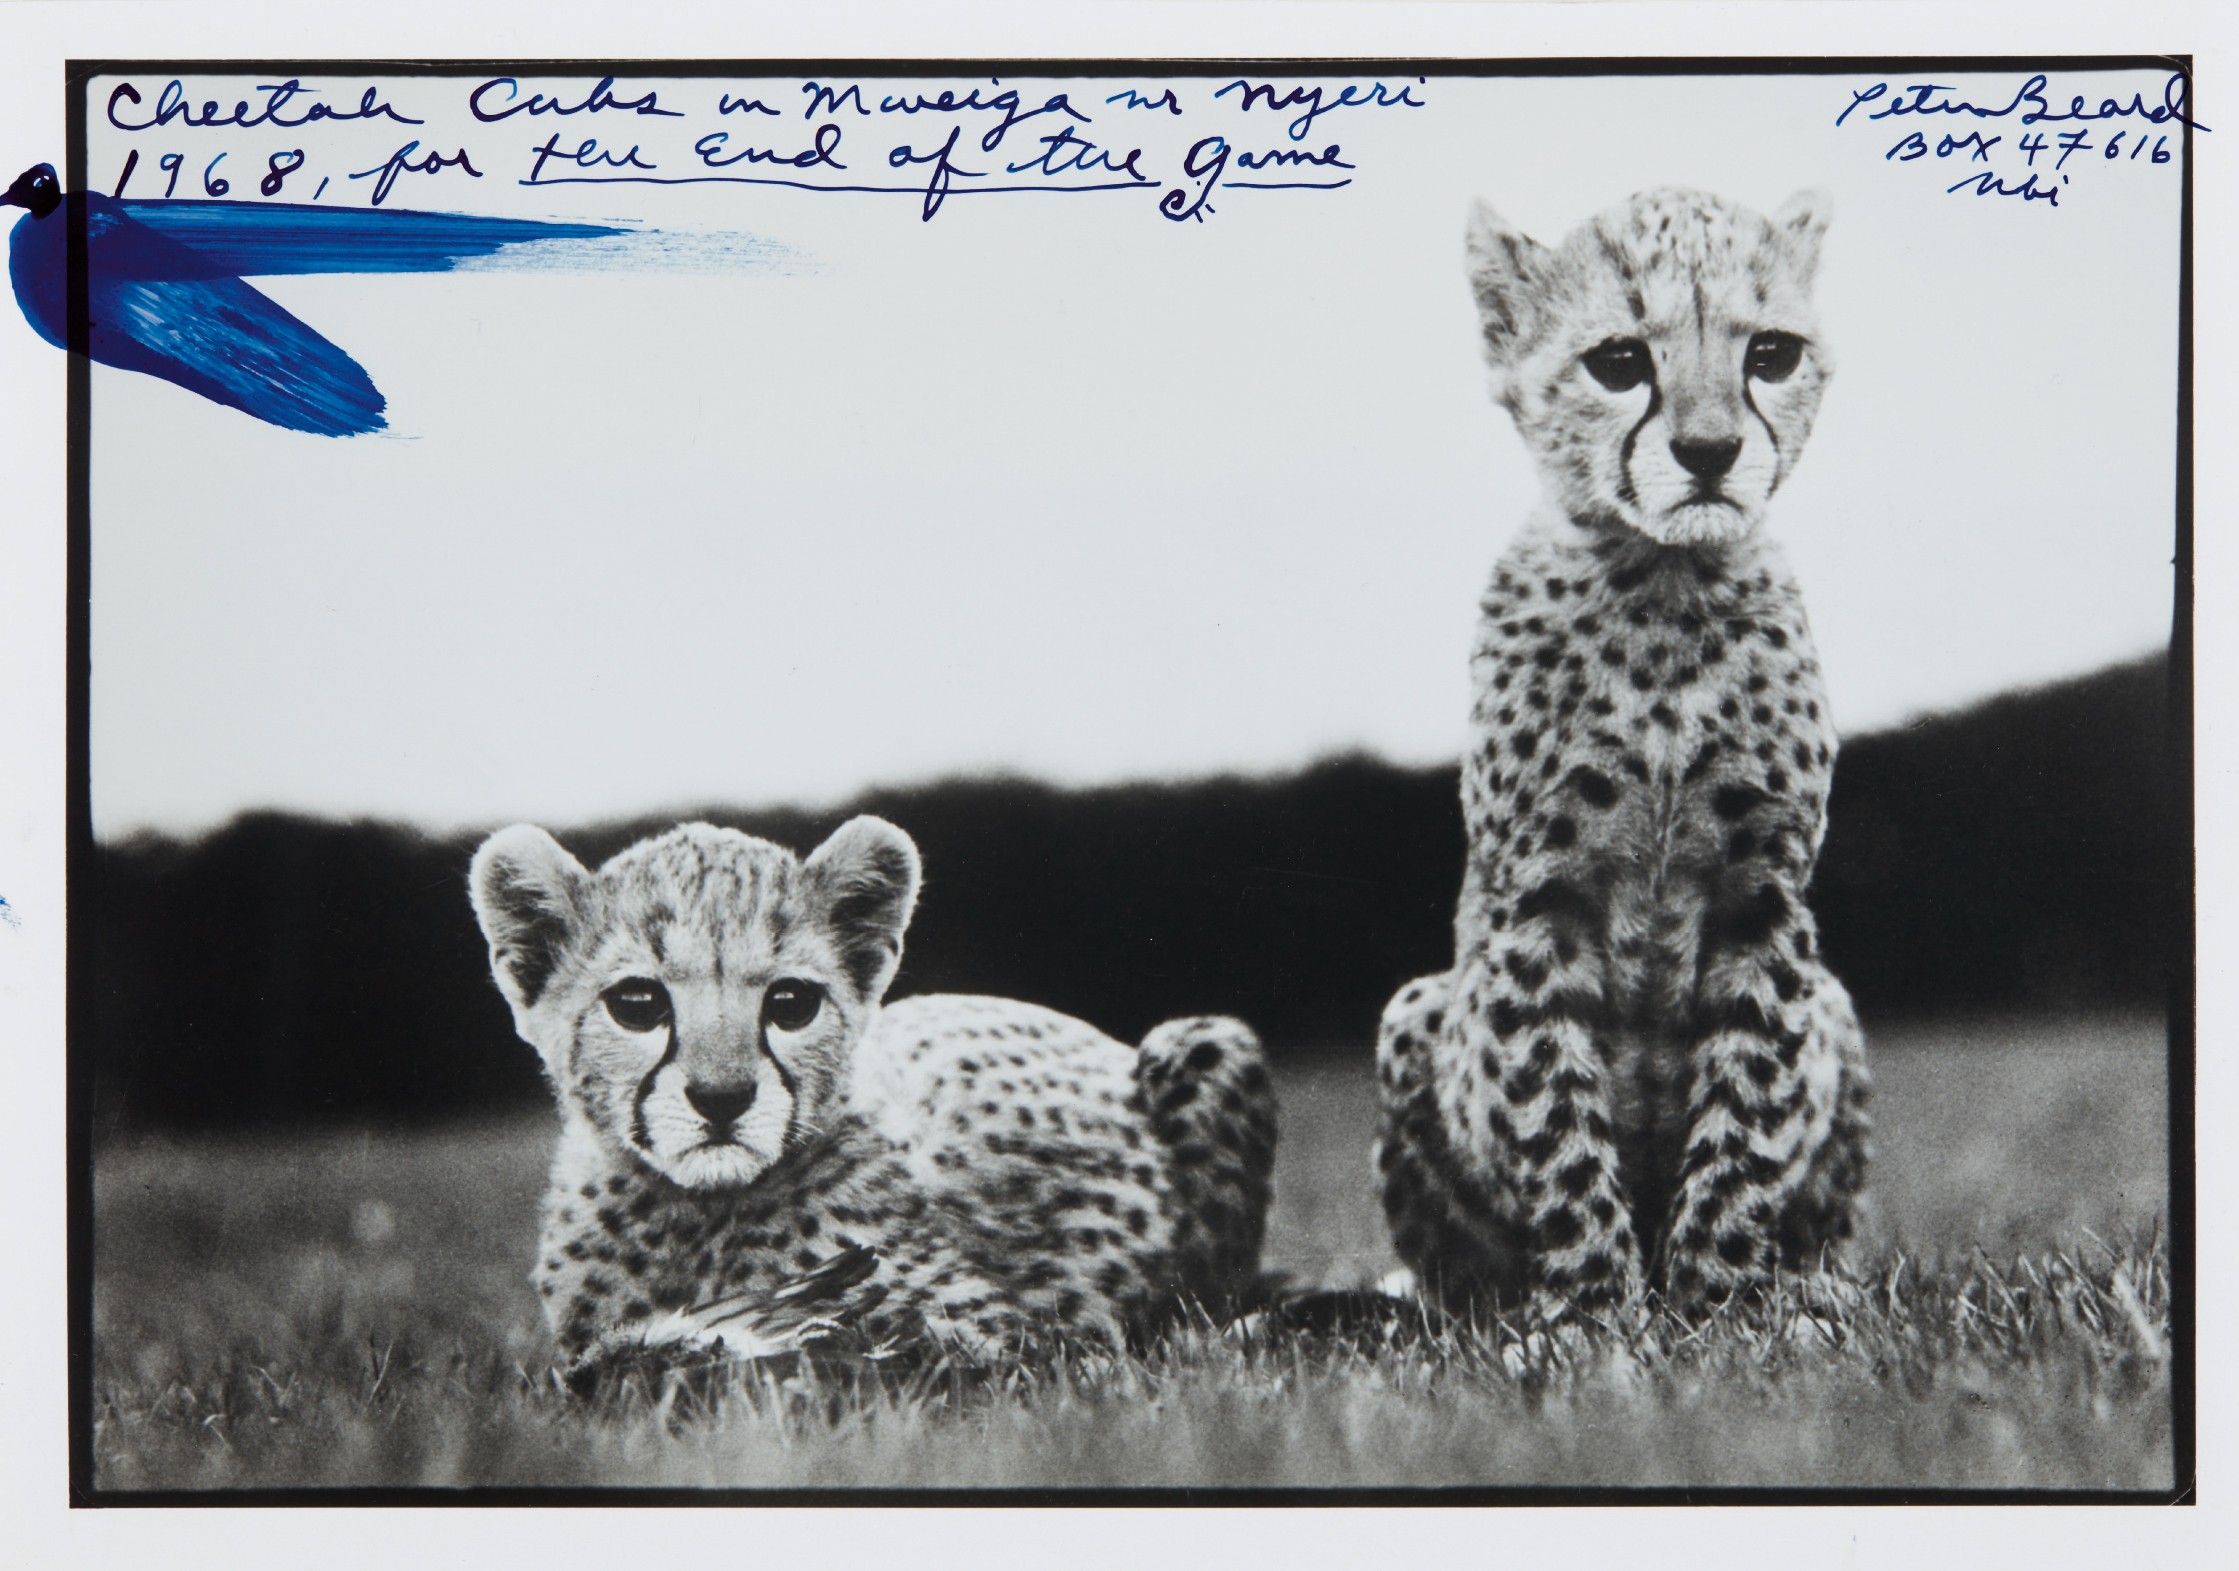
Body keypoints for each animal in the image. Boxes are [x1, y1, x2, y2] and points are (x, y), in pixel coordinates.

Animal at [468, 814, 1276, 1371]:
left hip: (1207, 1041)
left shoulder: (1014, 1335)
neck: (698, 1214)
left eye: (791, 1003)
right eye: (636, 1004)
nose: (722, 1097)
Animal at [1374, 186, 1871, 1328]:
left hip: (1836, 1004)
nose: (1709, 449)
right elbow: (1554, 1112)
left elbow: (1747, 1105)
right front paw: (1593, 1314)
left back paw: (1815, 1287)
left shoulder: (1764, 894)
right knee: (1447, 1262)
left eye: (1769, 354)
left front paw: (1723, 1306)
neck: (1662, 582)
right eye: (1617, 362)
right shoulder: (1536, 898)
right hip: (1415, 1009)